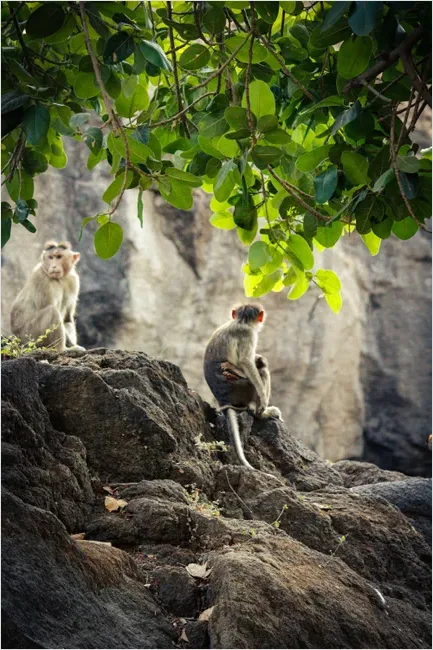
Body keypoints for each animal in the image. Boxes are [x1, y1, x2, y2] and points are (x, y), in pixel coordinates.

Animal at [203, 304, 282, 470]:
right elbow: (246, 361)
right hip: (243, 389)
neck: (241, 322)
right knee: (261, 370)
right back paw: (262, 413)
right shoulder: (248, 334)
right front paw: (263, 402)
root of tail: (224, 400)